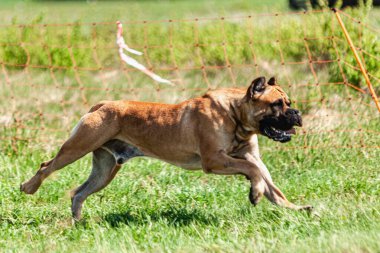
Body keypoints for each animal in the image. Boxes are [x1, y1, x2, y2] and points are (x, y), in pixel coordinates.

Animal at [20, 76, 312, 219]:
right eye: (277, 104)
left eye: (289, 102)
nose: (297, 113)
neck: (235, 113)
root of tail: (101, 105)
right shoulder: (215, 160)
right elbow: (251, 170)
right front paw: (255, 193)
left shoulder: (252, 157)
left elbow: (269, 183)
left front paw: (293, 208)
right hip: (76, 147)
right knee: (47, 166)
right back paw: (28, 187)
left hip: (105, 170)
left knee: (79, 193)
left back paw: (78, 222)